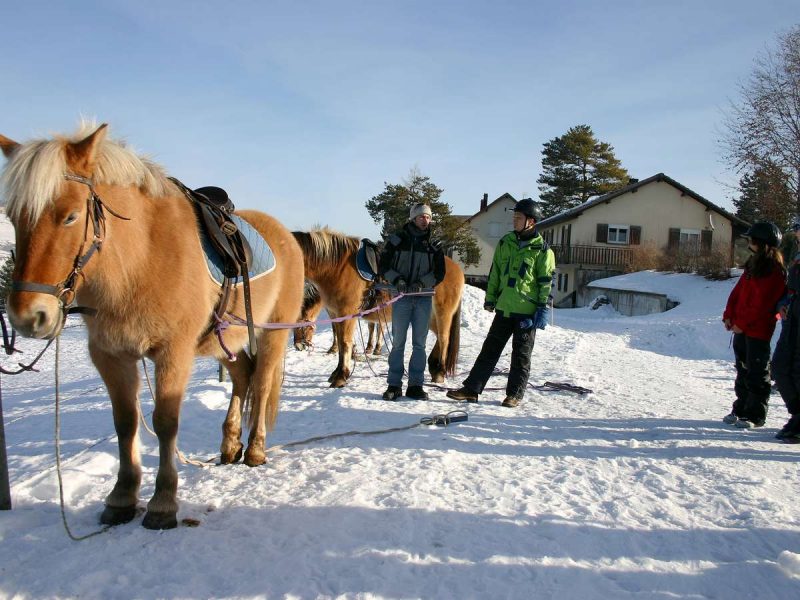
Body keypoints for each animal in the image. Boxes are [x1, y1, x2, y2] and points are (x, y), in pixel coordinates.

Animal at [0, 123, 304, 528]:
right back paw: (230, 445)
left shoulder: (172, 354)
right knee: (243, 380)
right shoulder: (111, 356)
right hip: (226, 340)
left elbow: (164, 422)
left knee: (262, 382)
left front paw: (163, 502)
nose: (28, 316)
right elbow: (126, 422)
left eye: (70, 216)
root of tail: (287, 236)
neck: (140, 259)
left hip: (273, 335)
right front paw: (122, 497)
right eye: (13, 217)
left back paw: (255, 450)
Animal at [292, 227, 462, 386]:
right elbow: (340, 341)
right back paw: (433, 367)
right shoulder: (336, 314)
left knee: (444, 338)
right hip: (429, 315)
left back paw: (440, 372)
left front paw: (341, 376)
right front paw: (337, 371)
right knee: (439, 336)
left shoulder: (347, 313)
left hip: (443, 312)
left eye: (302, 325)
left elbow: (345, 343)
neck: (337, 268)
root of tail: (456, 268)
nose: (298, 346)